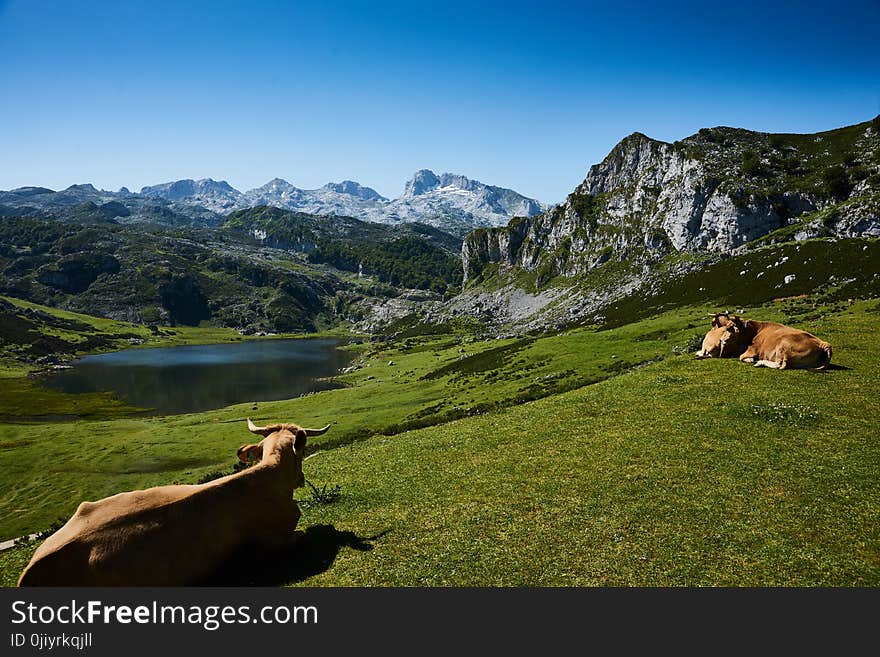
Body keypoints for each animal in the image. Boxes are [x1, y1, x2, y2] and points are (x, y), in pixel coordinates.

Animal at [18, 418, 330, 588]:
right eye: (302, 451)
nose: (301, 480)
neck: (268, 475)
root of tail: (32, 569)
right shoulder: (275, 538)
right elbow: (302, 535)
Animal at [696, 312, 832, 368]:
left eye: (730, 328)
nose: (721, 340)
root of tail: (823, 344)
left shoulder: (751, 350)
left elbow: (742, 357)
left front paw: (752, 360)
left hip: (783, 347)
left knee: (780, 365)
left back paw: (759, 362)